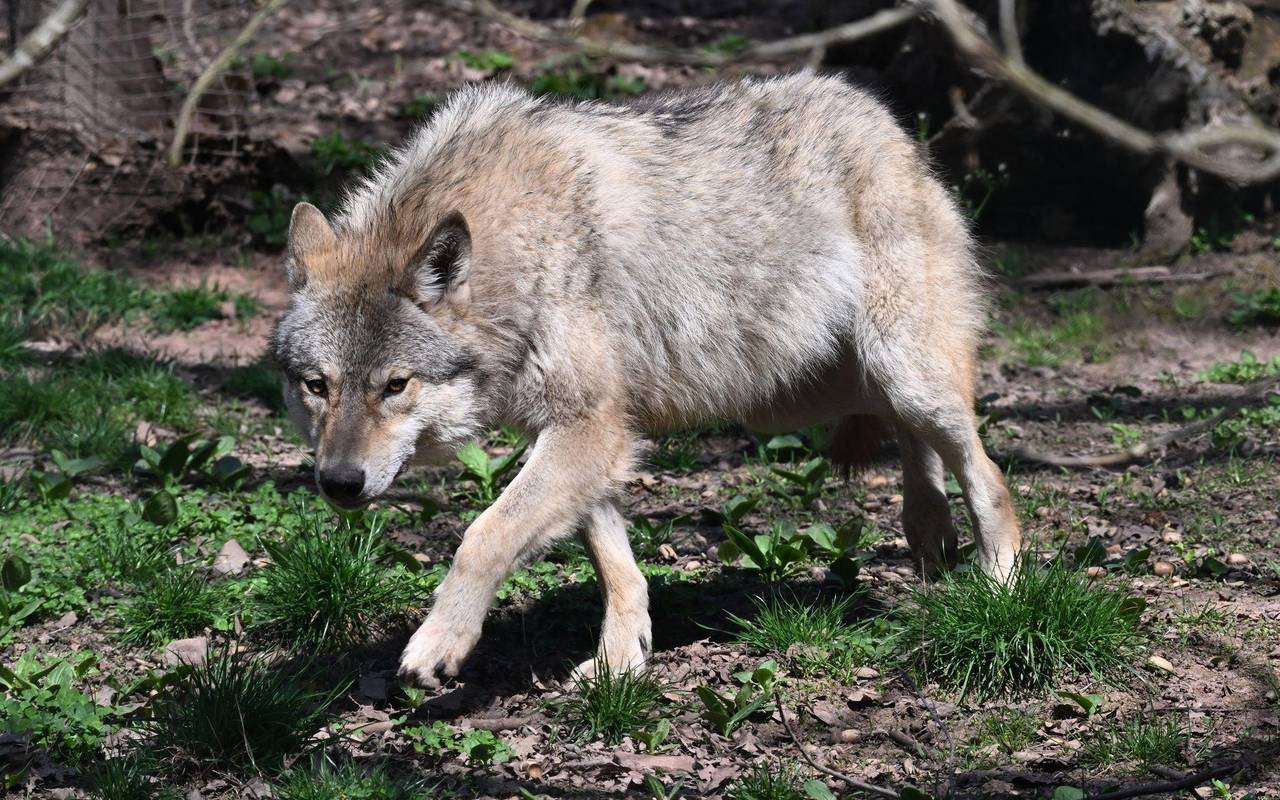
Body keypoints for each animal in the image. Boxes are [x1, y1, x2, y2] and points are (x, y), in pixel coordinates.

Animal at [270, 72, 1022, 688]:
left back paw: (998, 587)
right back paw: (928, 529)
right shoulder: (589, 433)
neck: (519, 249)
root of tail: (886, 119)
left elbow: (484, 536)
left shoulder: (589, 427)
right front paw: (619, 661)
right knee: (906, 432)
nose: (338, 483)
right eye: (317, 386)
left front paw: (439, 643)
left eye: (395, 385)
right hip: (792, 397)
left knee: (987, 472)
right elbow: (615, 564)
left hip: (896, 371)